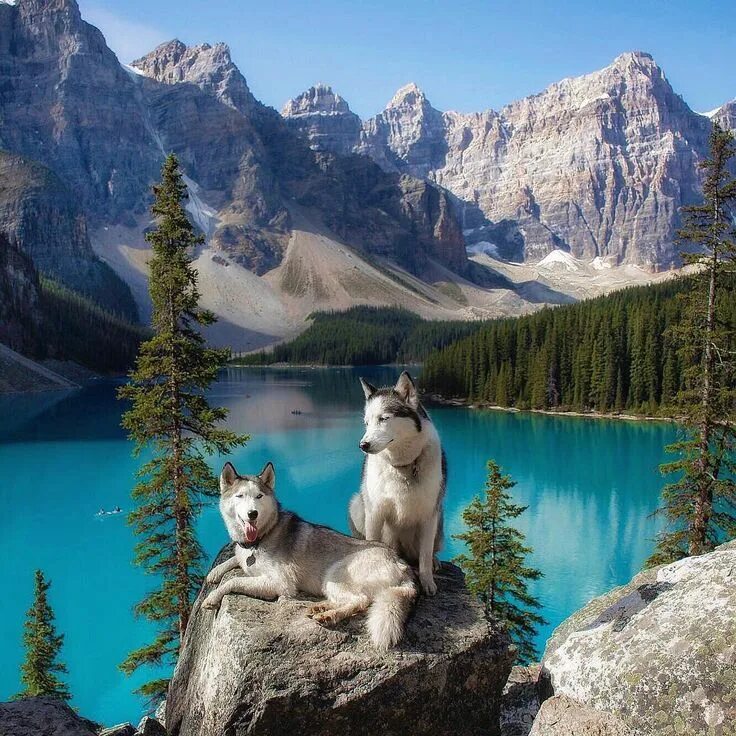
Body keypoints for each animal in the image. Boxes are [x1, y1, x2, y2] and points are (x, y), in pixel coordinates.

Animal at [204, 458, 416, 652]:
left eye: (259, 496)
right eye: (240, 496)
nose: (252, 514)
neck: (262, 537)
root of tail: (403, 565)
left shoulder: (281, 583)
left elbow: (234, 581)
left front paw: (213, 597)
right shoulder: (244, 556)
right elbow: (233, 559)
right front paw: (215, 572)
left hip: (334, 574)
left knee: (360, 601)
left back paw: (329, 616)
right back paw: (321, 607)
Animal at [348, 374, 446, 600]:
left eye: (384, 418)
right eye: (366, 423)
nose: (363, 445)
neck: (403, 466)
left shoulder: (430, 514)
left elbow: (425, 555)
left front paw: (427, 582)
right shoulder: (375, 512)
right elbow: (372, 543)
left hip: (440, 518)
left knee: (427, 551)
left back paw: (435, 561)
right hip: (357, 504)